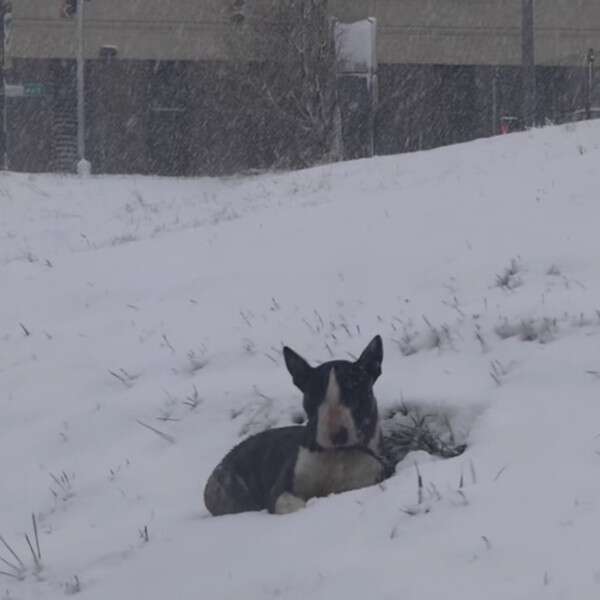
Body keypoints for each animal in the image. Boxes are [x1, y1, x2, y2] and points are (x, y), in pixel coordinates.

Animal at [202, 336, 392, 512]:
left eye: (355, 389)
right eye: (313, 395)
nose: (337, 435)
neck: (338, 455)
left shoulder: (368, 476)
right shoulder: (282, 488)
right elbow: (290, 502)